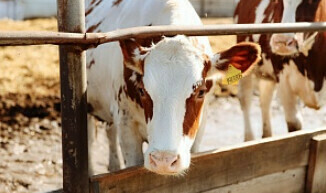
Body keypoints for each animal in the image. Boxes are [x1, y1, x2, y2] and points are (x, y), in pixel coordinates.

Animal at [236, 0, 324, 141]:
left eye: (313, 1)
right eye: (277, 2)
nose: (281, 42)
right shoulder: (284, 81)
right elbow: (294, 124)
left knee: (265, 100)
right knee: (245, 98)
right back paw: (249, 139)